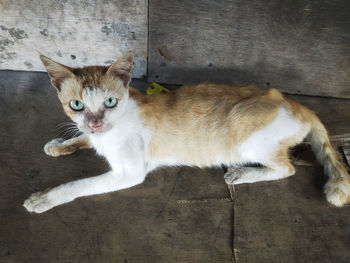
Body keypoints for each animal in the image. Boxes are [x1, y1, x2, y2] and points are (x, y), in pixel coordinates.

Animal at [23, 52, 350, 214]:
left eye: (110, 102)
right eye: (77, 105)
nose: (94, 123)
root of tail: (297, 104)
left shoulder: (129, 172)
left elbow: (77, 185)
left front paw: (44, 198)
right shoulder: (92, 132)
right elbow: (81, 138)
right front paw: (60, 144)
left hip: (247, 140)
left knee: (286, 168)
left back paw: (243, 173)